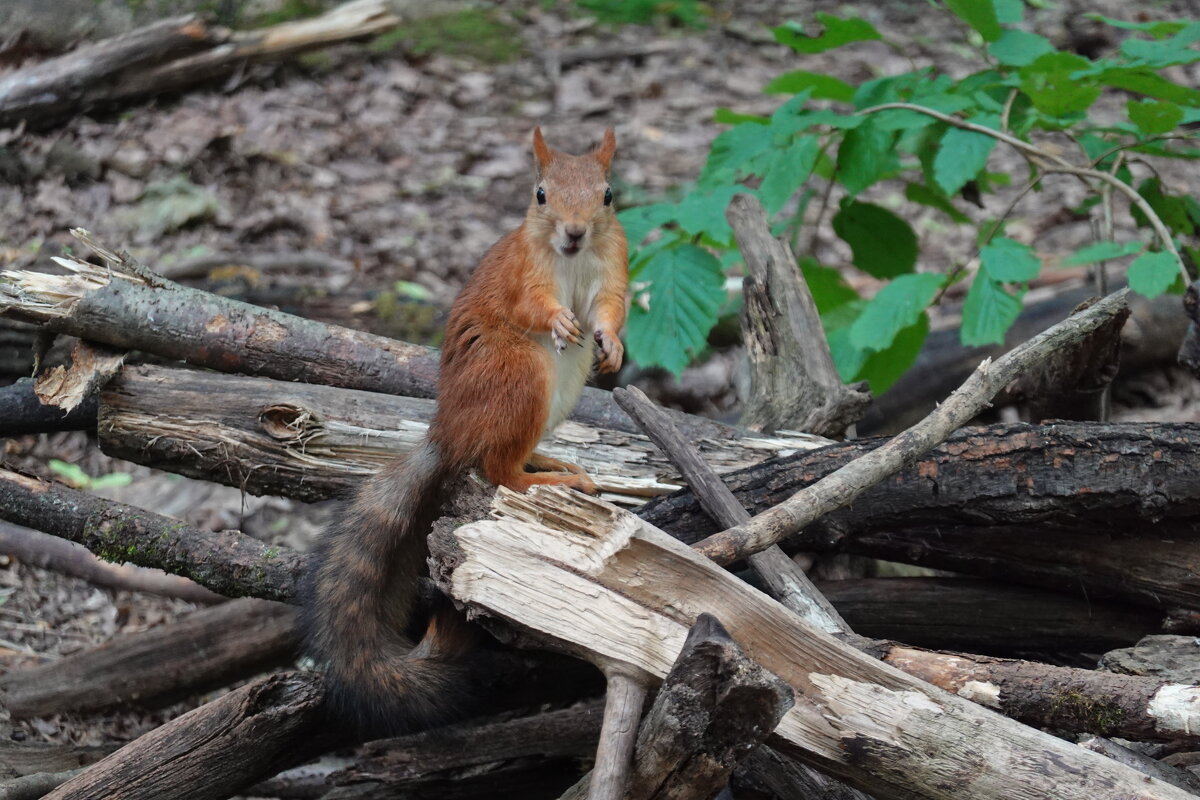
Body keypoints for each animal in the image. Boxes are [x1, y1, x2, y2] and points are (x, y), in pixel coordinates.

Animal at [302, 128, 628, 734]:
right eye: (540, 194)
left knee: (504, 459)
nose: (574, 233)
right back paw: (549, 481)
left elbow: (610, 309)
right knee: (498, 469)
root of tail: (446, 434)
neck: (570, 260)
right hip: (519, 374)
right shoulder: (522, 273)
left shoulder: (613, 266)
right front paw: (558, 318)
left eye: (608, 195)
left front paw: (613, 344)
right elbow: (530, 303)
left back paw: (554, 465)